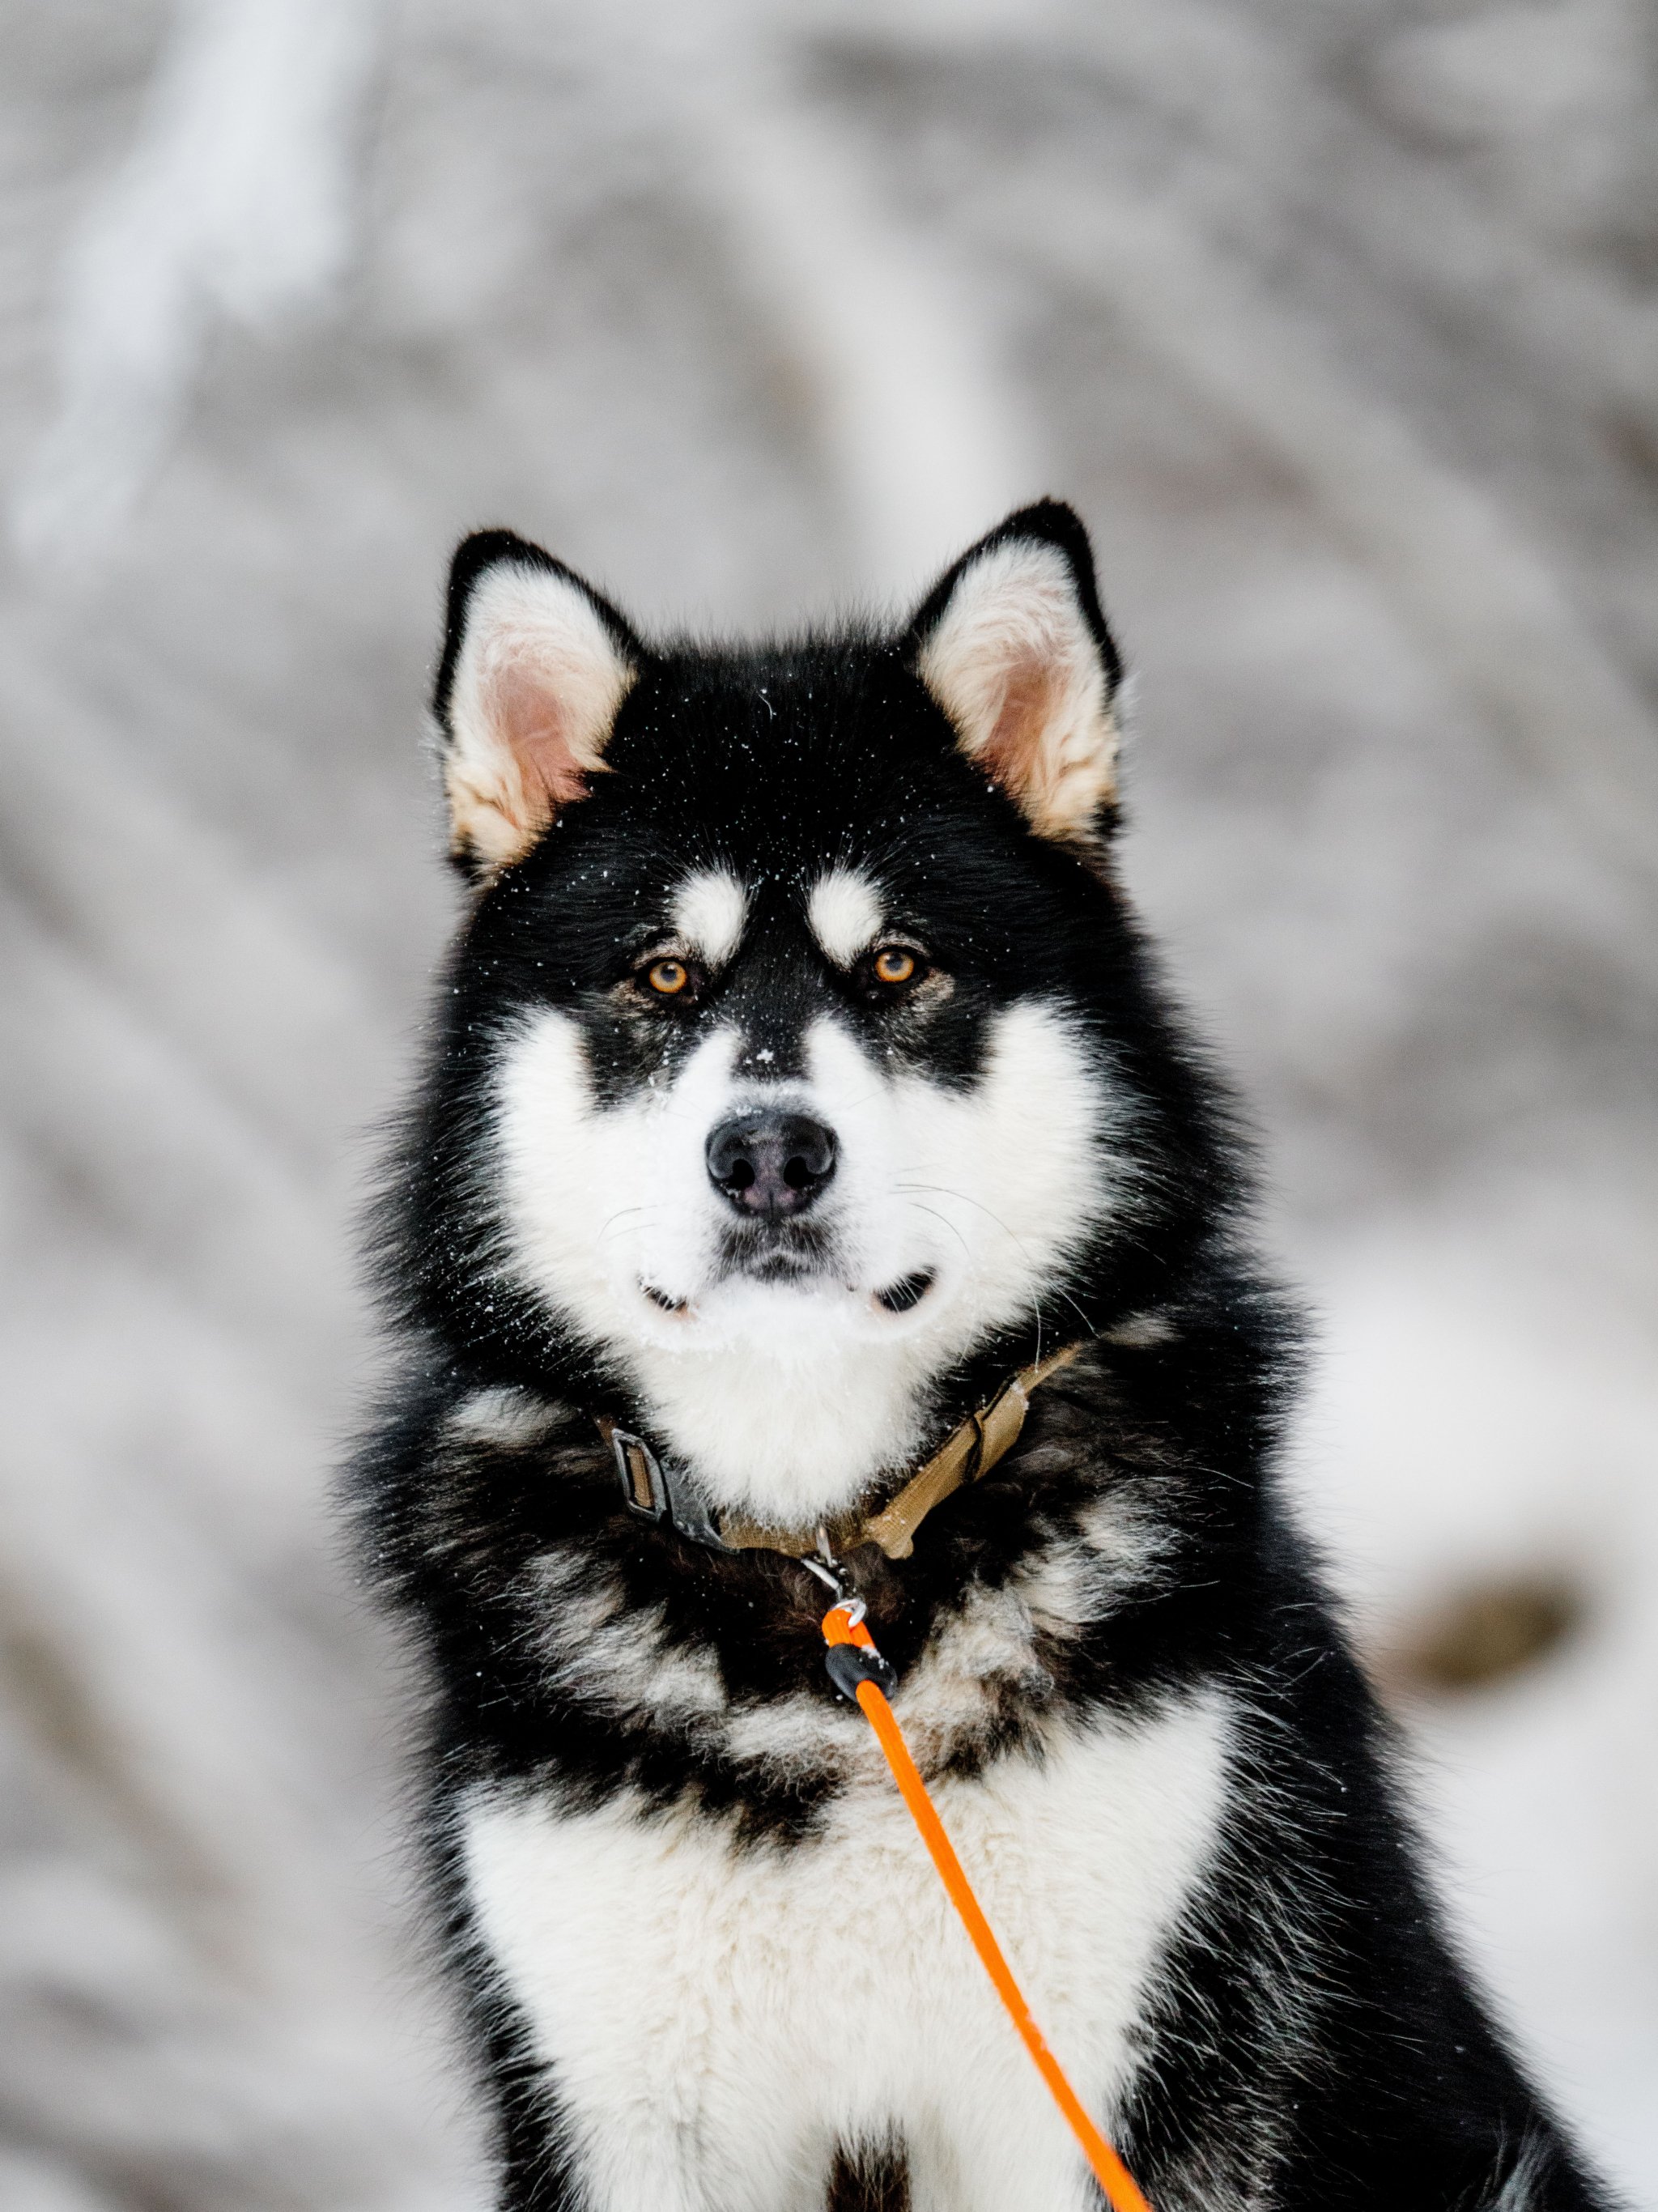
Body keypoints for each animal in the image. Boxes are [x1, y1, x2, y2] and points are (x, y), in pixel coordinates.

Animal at [352, 502, 1611, 2211]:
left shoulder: (1109, 2073)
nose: (766, 1153)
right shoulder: (625, 2108)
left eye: (894, 967)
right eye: (663, 977)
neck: (824, 1567)